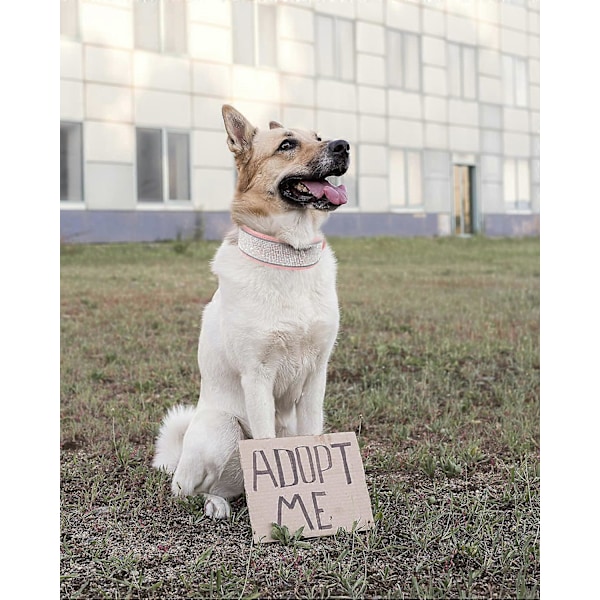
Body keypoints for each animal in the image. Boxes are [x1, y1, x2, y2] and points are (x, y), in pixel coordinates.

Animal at [151, 105, 352, 516]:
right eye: (287, 144)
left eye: (319, 137)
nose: (343, 145)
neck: (289, 254)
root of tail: (176, 464)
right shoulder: (258, 377)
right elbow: (269, 448)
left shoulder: (317, 375)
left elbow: (314, 441)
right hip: (222, 429)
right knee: (191, 491)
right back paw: (214, 504)